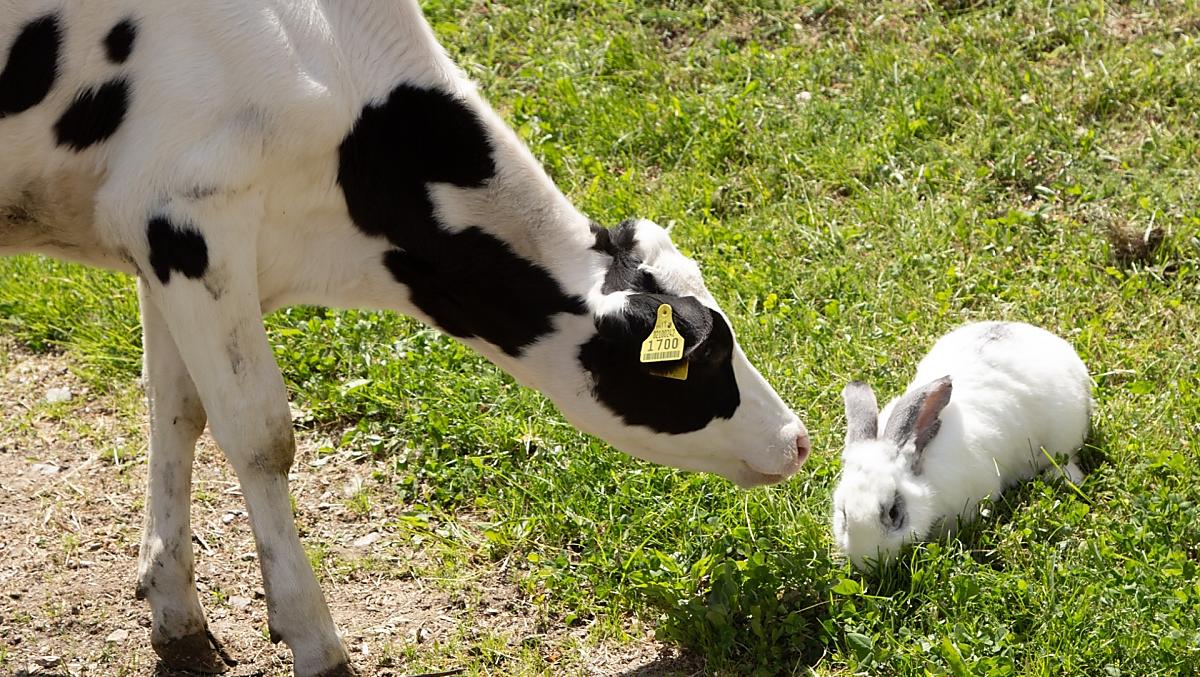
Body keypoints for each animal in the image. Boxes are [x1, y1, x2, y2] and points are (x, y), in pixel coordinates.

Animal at [0, 1, 811, 674]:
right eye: (702, 356)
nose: (799, 439)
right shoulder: (193, 224)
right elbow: (261, 436)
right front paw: (313, 639)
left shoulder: (157, 235)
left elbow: (177, 411)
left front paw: (175, 615)